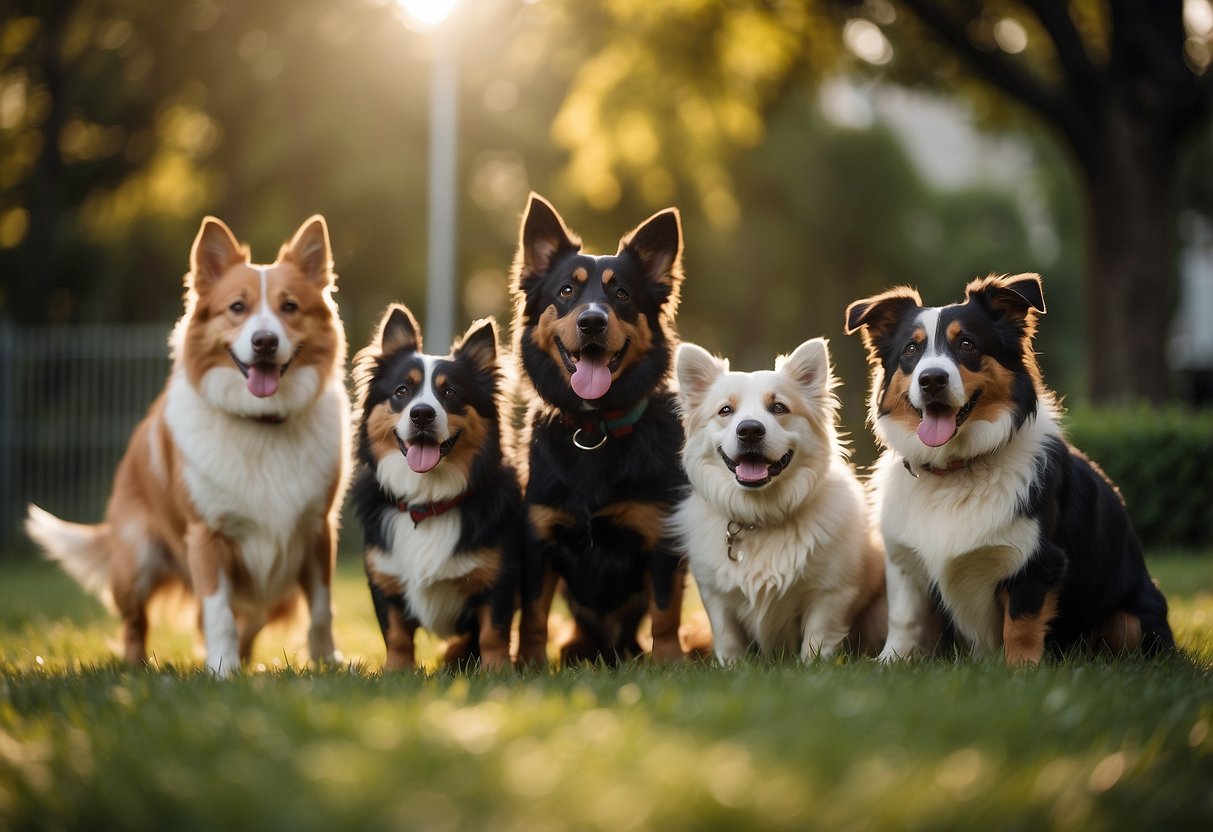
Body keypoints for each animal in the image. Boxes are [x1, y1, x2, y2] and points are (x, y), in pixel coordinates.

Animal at [27, 217, 351, 679]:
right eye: (237, 307)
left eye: (290, 307)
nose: (265, 341)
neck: (261, 422)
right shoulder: (206, 537)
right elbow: (217, 611)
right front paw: (222, 670)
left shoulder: (318, 530)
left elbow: (322, 608)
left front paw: (328, 663)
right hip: (136, 560)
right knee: (135, 624)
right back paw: (137, 669)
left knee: (256, 616)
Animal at [351, 306, 521, 669]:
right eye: (402, 391)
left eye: (450, 393)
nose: (422, 414)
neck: (427, 501)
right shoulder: (384, 579)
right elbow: (396, 636)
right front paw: (396, 673)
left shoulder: (500, 577)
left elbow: (493, 633)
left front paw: (498, 671)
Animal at [507, 194, 688, 664]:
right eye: (566, 291)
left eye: (621, 293)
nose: (592, 322)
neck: (594, 429)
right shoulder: (538, 539)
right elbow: (533, 615)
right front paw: (528, 665)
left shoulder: (661, 538)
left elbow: (665, 613)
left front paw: (670, 662)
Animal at [674, 339, 883, 664]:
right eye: (725, 410)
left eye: (778, 407)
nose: (749, 430)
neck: (760, 518)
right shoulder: (715, 597)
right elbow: (728, 641)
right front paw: (732, 668)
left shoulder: (830, 594)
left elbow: (816, 639)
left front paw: (813, 667)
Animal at [844, 276, 1174, 669]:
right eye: (911, 349)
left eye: (967, 344)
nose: (932, 380)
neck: (956, 469)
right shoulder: (903, 562)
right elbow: (903, 618)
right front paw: (890, 663)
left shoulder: (1037, 561)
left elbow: (1020, 624)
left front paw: (1021, 673)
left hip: (1132, 618)